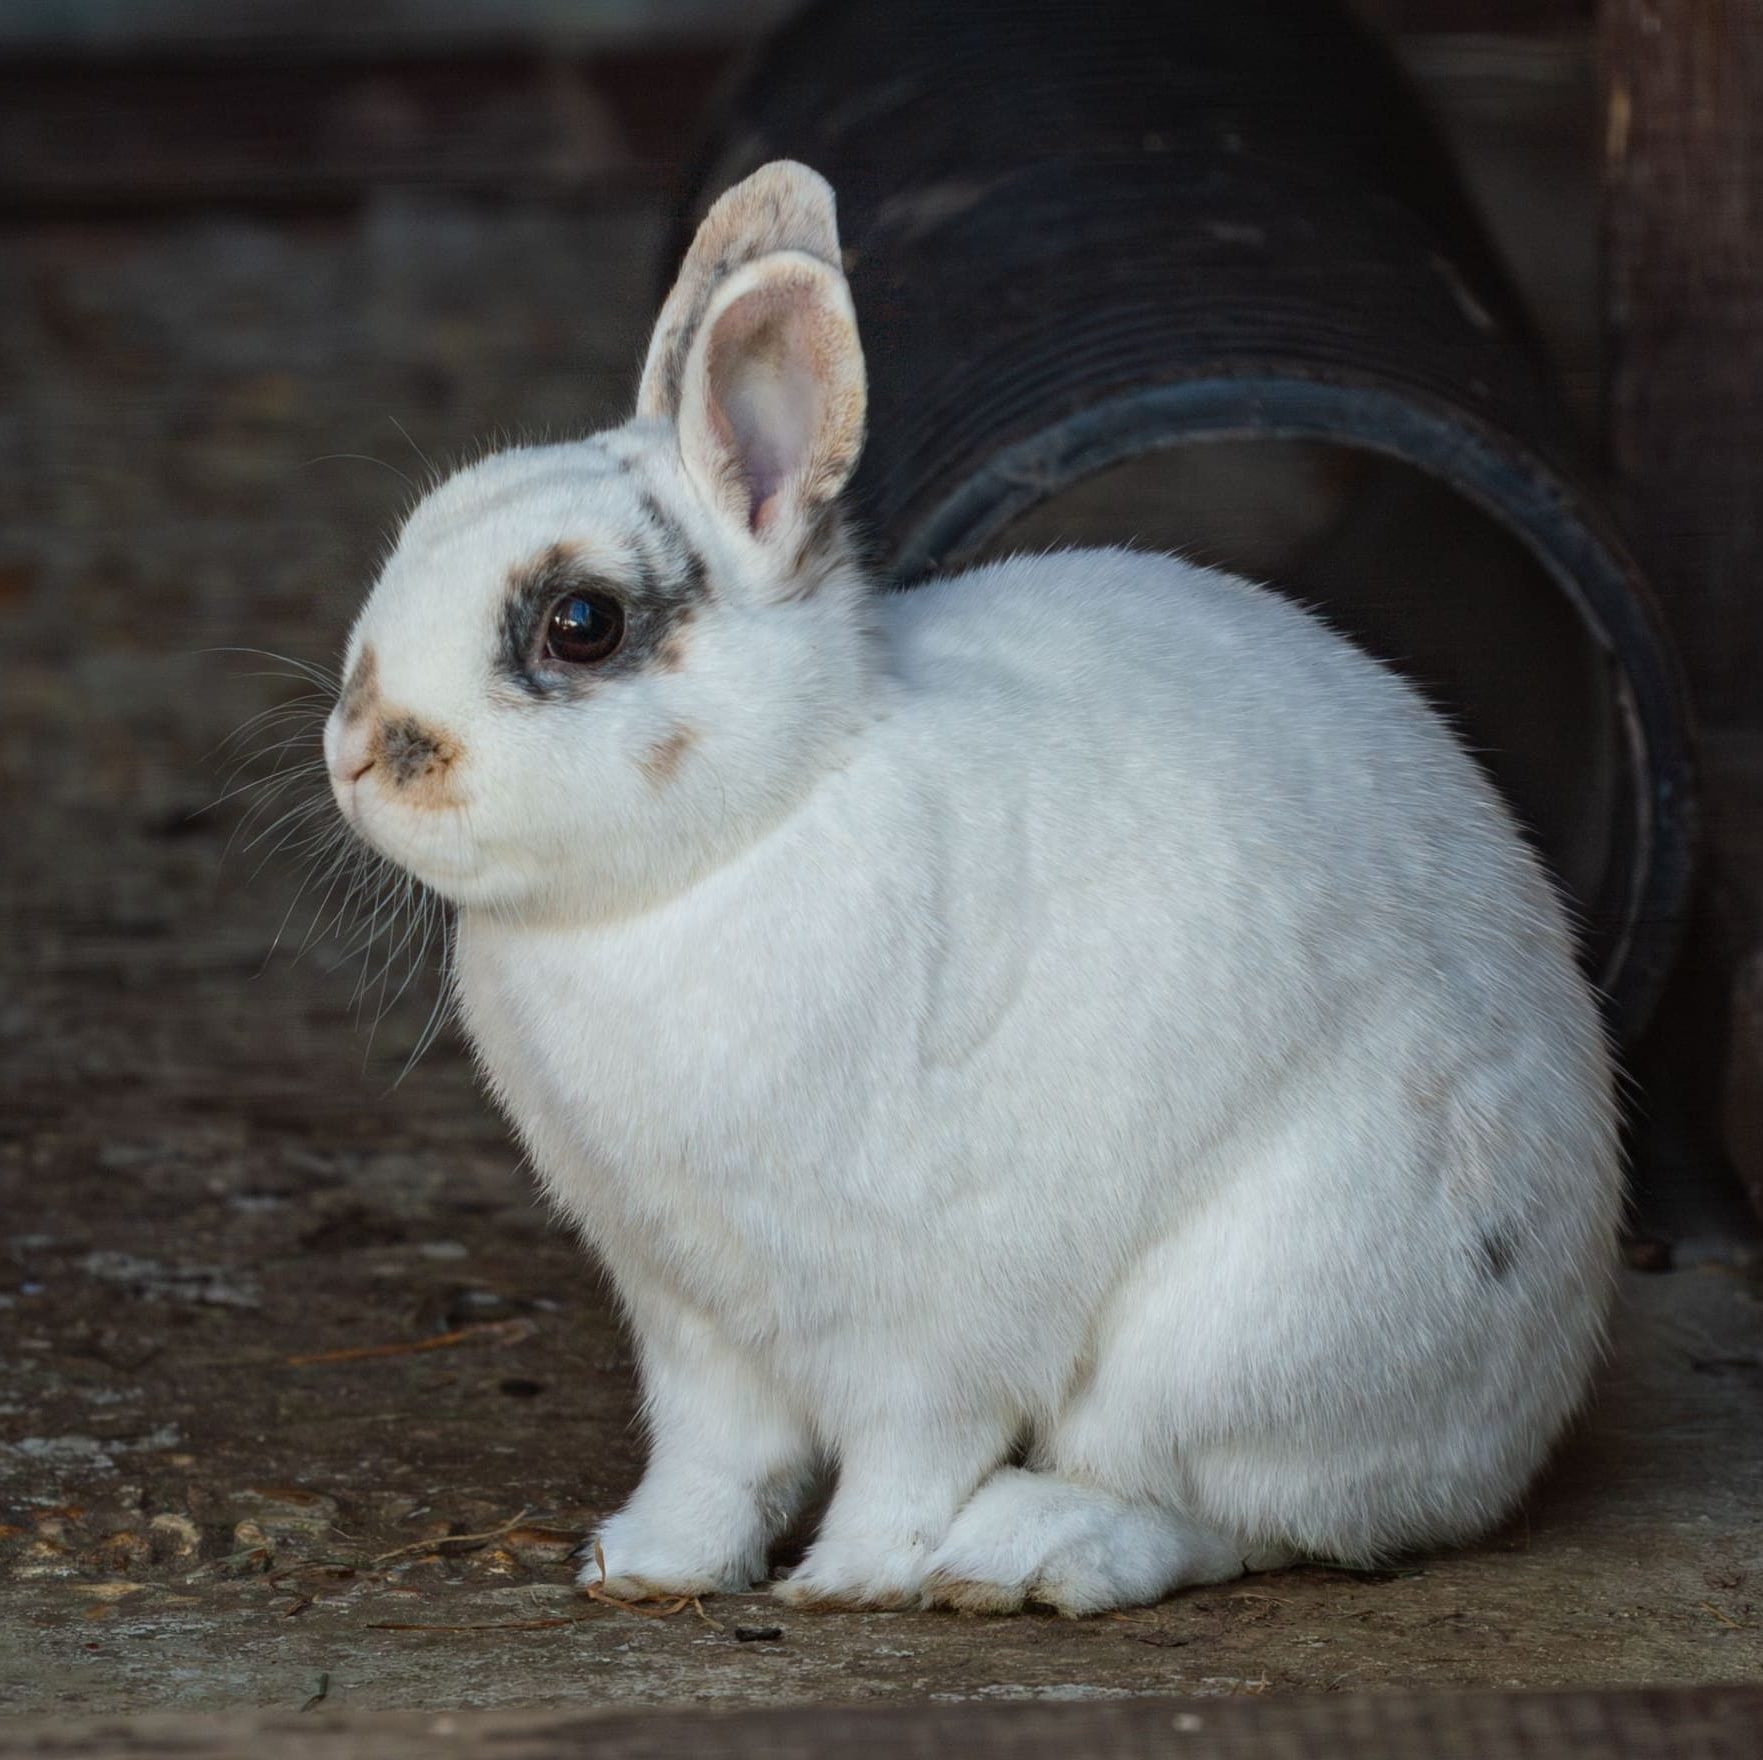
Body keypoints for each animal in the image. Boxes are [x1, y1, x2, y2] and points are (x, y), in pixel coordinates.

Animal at [322, 160, 1620, 1616]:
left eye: (580, 624)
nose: (358, 749)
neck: (762, 819)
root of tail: (1521, 1418)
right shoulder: (692, 1316)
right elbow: (718, 1459)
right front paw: (644, 1566)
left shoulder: (928, 1320)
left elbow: (907, 1453)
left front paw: (846, 1582)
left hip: (1242, 1321)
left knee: (1210, 1506)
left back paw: (1014, 1555)